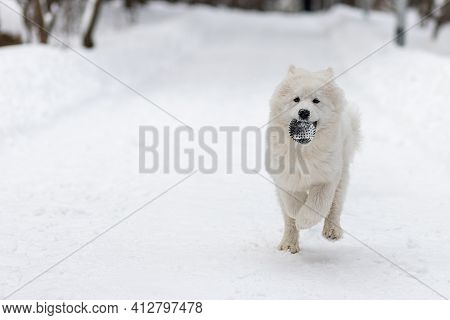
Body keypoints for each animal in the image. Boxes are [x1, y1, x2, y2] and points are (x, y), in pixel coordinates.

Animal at [266, 66, 360, 254]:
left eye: (316, 100)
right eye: (296, 99)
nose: (303, 112)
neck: (304, 149)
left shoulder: (328, 177)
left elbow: (318, 204)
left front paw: (304, 221)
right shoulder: (286, 178)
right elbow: (292, 206)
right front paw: (298, 216)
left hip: (343, 172)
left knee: (335, 204)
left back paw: (332, 231)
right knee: (287, 218)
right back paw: (288, 244)